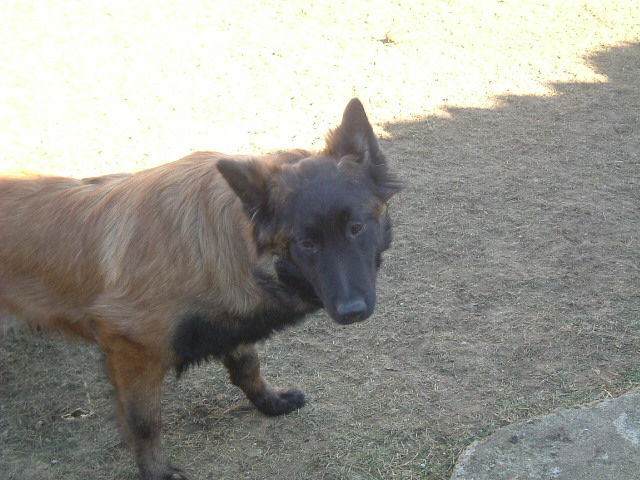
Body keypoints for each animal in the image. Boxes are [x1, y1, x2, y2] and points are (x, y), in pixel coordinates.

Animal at [0, 98, 400, 480]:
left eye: (356, 227)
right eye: (306, 243)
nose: (352, 311)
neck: (212, 244)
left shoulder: (231, 321)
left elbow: (248, 367)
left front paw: (269, 402)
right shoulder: (131, 348)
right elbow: (144, 422)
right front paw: (157, 471)